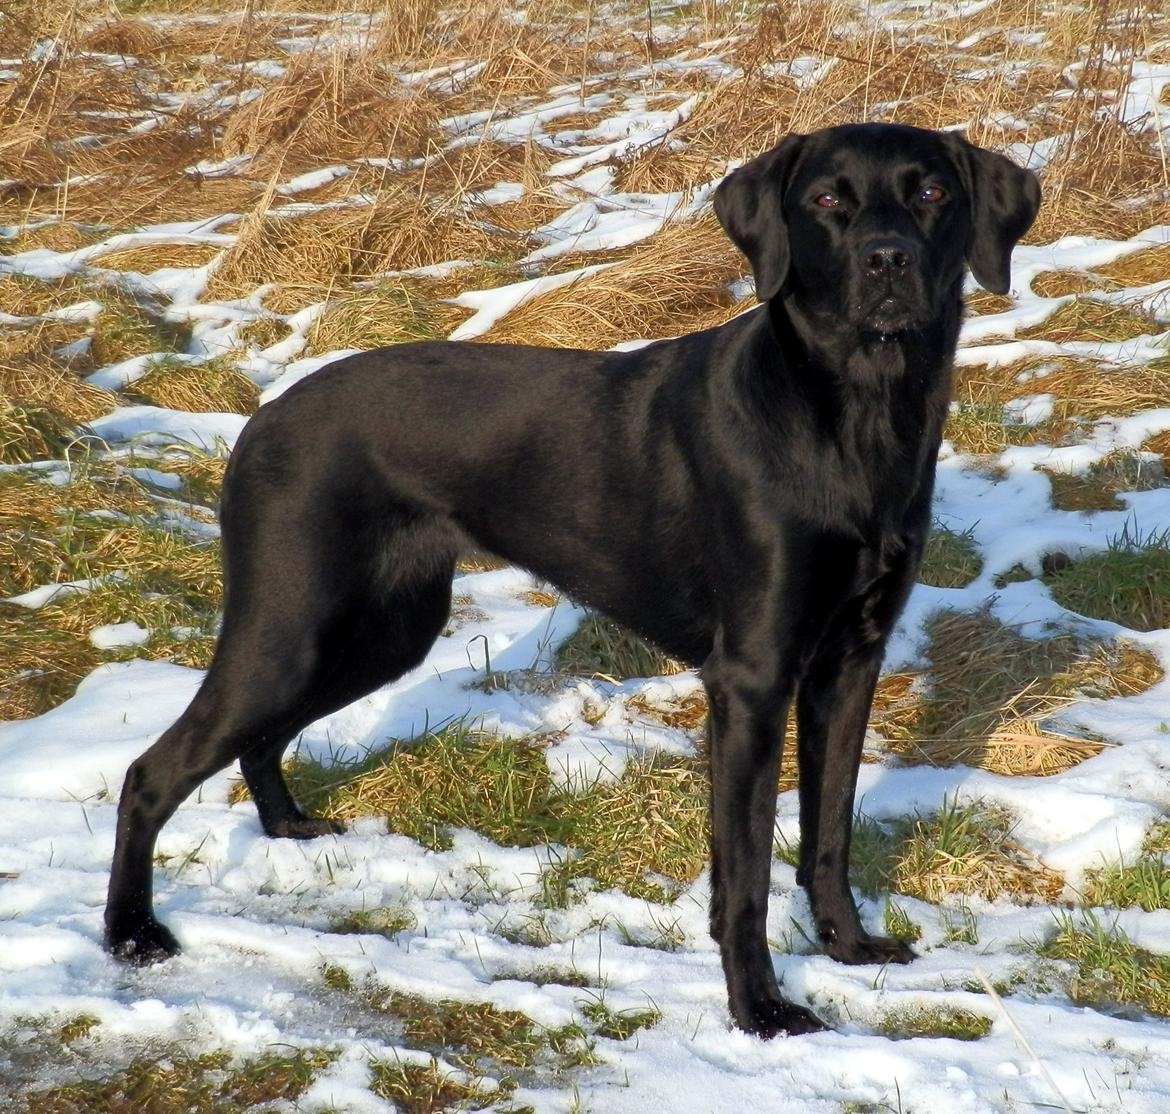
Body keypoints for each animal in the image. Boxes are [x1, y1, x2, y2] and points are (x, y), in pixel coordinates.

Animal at [107, 126, 1043, 1039]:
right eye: (825, 200)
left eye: (931, 192)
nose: (888, 260)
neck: (854, 413)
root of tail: (259, 420)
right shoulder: (752, 677)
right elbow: (744, 874)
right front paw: (760, 1009)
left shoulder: (849, 663)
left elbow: (829, 834)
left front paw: (847, 948)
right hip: (293, 624)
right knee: (153, 771)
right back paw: (132, 934)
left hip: (382, 630)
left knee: (259, 739)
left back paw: (287, 829)